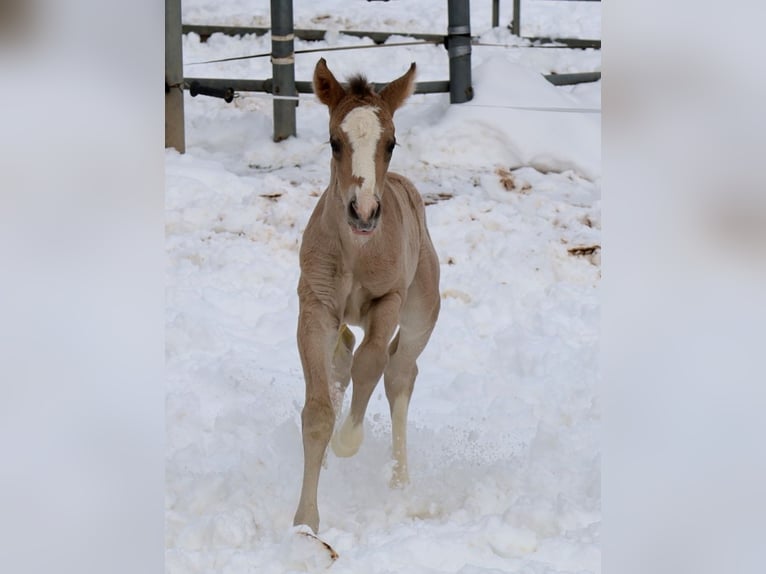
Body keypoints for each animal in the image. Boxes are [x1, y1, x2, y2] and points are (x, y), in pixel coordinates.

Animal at [293, 58, 441, 533]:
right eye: (334, 142)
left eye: (390, 142)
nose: (363, 212)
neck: (356, 253)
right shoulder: (316, 306)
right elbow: (318, 410)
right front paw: (305, 521)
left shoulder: (388, 300)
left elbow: (372, 364)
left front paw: (348, 440)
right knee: (343, 360)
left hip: (421, 315)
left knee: (399, 372)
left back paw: (399, 483)